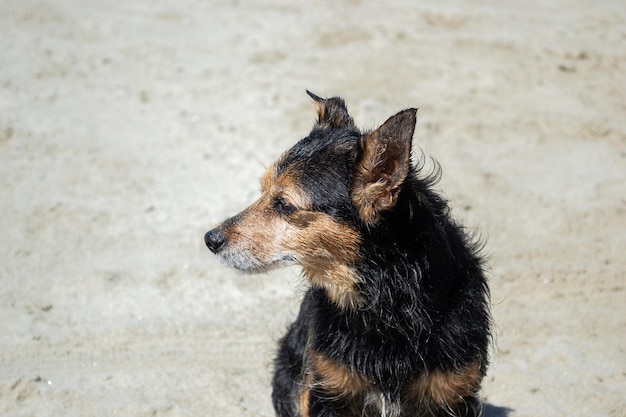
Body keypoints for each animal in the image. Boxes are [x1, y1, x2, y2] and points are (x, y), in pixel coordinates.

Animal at [204, 92, 488, 416]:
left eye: (285, 205)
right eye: (262, 190)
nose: (210, 239)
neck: (387, 300)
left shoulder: (452, 392)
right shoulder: (327, 387)